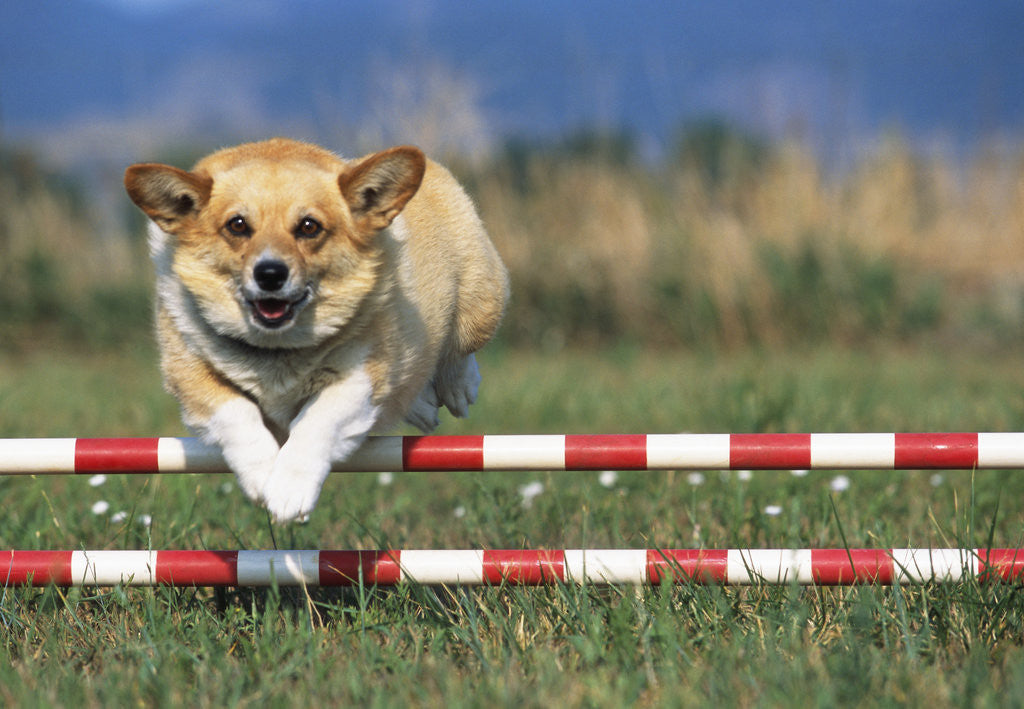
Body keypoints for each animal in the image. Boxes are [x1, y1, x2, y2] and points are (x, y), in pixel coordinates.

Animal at [123, 138, 507, 522]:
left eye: (309, 226)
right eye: (237, 225)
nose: (270, 274)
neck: (277, 348)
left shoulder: (360, 376)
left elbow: (317, 422)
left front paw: (289, 492)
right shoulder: (188, 373)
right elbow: (237, 414)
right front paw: (263, 477)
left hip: (478, 309)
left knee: (457, 350)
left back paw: (458, 387)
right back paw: (423, 407)